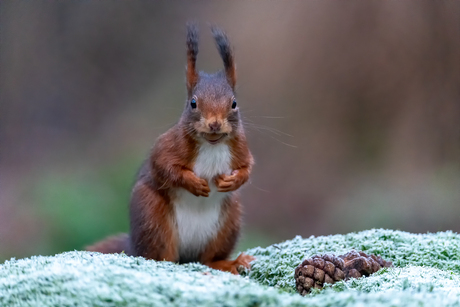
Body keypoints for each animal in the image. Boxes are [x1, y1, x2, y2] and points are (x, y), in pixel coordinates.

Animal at [87, 24, 255, 274]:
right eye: (193, 103)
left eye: (234, 103)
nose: (214, 124)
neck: (212, 144)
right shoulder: (169, 146)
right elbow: (163, 166)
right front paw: (193, 183)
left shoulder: (240, 147)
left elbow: (248, 167)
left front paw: (233, 180)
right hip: (153, 216)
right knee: (160, 255)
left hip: (229, 221)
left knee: (207, 259)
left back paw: (228, 263)